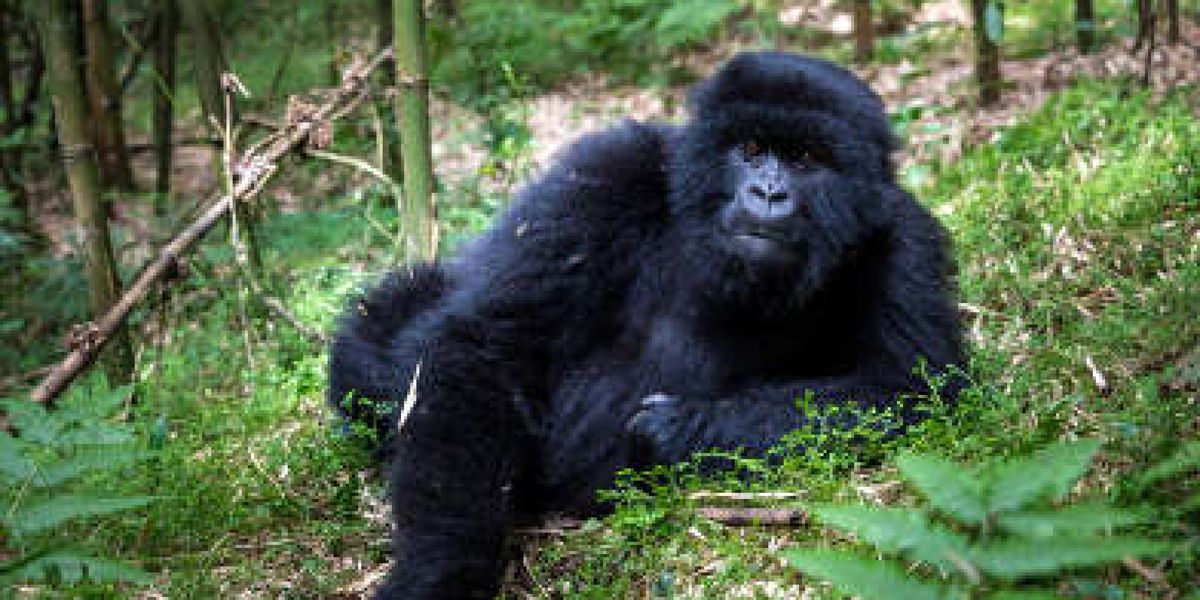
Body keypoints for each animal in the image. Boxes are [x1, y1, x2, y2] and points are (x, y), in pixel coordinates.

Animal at [328, 52, 964, 600]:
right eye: (751, 148)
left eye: (807, 159)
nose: (768, 192)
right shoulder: (607, 172)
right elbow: (486, 347)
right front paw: (439, 568)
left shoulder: (904, 238)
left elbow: (910, 390)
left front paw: (680, 429)